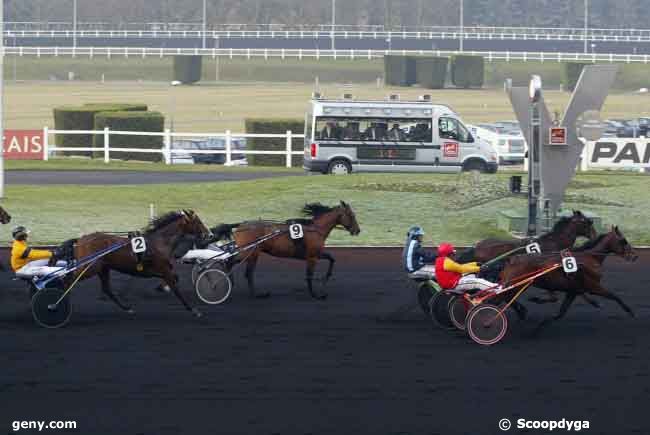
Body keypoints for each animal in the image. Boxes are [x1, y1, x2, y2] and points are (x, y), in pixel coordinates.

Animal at [56, 210, 209, 316]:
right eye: (198, 222)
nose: (209, 234)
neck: (159, 242)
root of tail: (81, 239)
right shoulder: (163, 269)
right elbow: (176, 288)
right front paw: (193, 310)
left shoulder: (158, 271)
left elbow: (174, 279)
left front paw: (162, 287)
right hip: (90, 268)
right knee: (68, 281)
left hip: (103, 268)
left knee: (107, 289)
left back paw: (127, 308)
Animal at [211, 201, 360, 300]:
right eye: (351, 215)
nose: (357, 230)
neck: (315, 229)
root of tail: (241, 225)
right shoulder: (312, 256)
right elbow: (309, 275)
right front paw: (315, 294)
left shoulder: (316, 254)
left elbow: (332, 259)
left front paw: (326, 278)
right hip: (251, 253)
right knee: (246, 272)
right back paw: (256, 294)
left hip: (248, 253)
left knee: (231, 262)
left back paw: (231, 283)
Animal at [498, 227, 636, 336]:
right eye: (623, 241)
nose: (634, 256)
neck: (590, 258)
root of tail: (512, 259)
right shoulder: (593, 287)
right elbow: (615, 296)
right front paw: (630, 311)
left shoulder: (573, 291)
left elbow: (560, 313)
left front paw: (540, 325)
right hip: (518, 284)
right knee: (505, 297)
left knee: (507, 298)